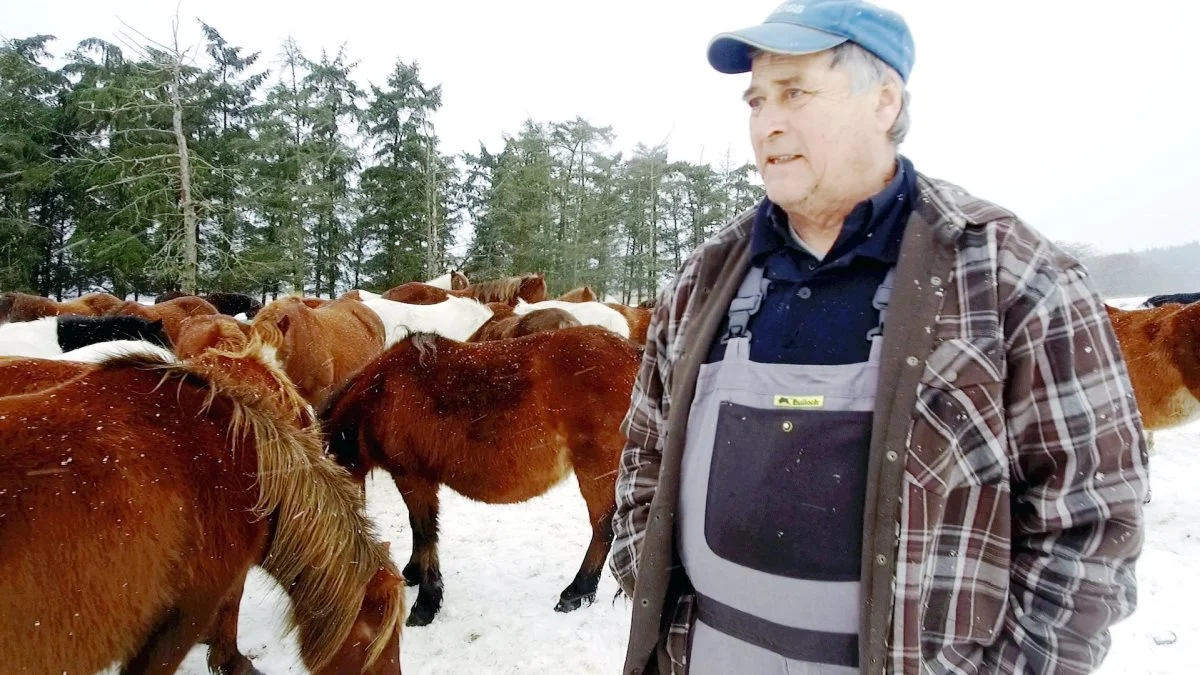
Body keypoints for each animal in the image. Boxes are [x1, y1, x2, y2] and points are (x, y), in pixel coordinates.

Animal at [316, 326, 638, 624]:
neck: (383, 393)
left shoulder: (413, 477)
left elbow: (424, 531)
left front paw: (426, 603)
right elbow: (420, 531)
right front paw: (413, 574)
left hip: (596, 471)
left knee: (603, 528)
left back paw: (576, 592)